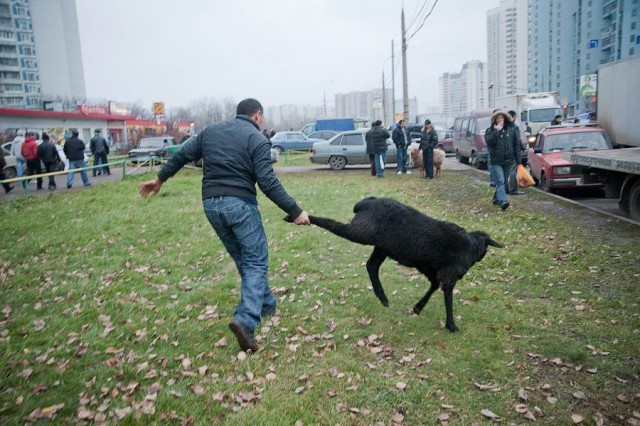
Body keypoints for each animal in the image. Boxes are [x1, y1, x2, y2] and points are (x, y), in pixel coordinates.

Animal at [284, 197, 500, 332]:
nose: (482, 256)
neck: (471, 247)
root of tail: (366, 203)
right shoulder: (449, 274)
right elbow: (448, 298)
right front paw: (451, 325)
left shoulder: (431, 270)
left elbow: (433, 286)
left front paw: (417, 308)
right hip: (362, 231)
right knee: (334, 225)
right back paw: (298, 216)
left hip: (382, 247)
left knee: (371, 266)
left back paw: (383, 297)